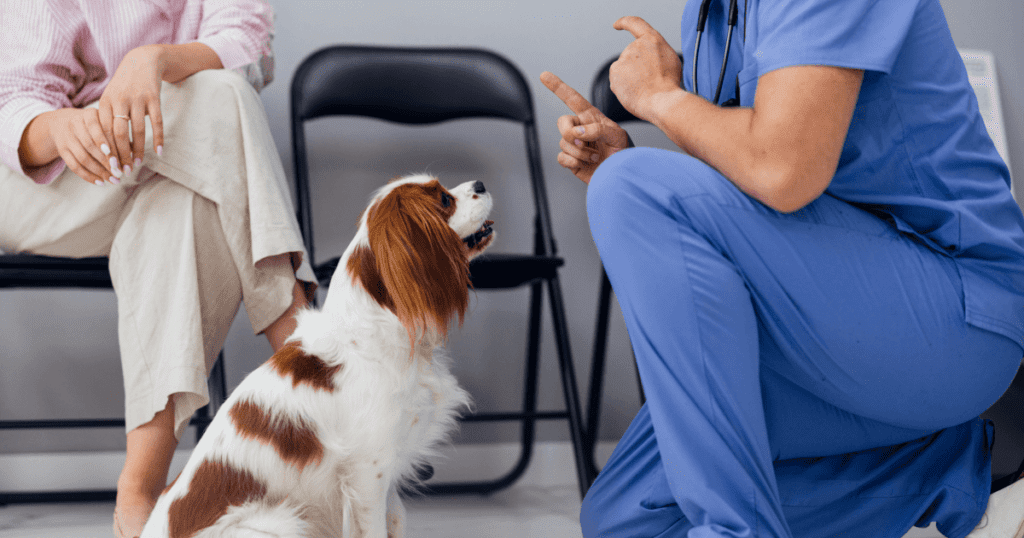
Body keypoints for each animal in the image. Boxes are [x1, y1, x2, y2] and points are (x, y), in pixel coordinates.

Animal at [141, 174, 495, 532]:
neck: (380, 328)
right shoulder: (369, 473)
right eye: (444, 200)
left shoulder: (389, 471)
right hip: (282, 521)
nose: (480, 183)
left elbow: (396, 519)